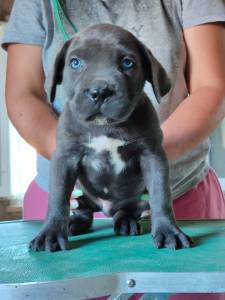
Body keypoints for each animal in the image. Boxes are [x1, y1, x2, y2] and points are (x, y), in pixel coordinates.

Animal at [29, 24, 192, 252]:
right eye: (75, 62)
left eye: (127, 63)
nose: (100, 91)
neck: (105, 127)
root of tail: (106, 208)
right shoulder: (65, 158)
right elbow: (58, 198)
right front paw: (50, 233)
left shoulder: (153, 156)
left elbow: (161, 196)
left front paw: (168, 231)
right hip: (84, 196)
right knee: (83, 210)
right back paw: (74, 223)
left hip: (137, 198)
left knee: (127, 210)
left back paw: (126, 221)